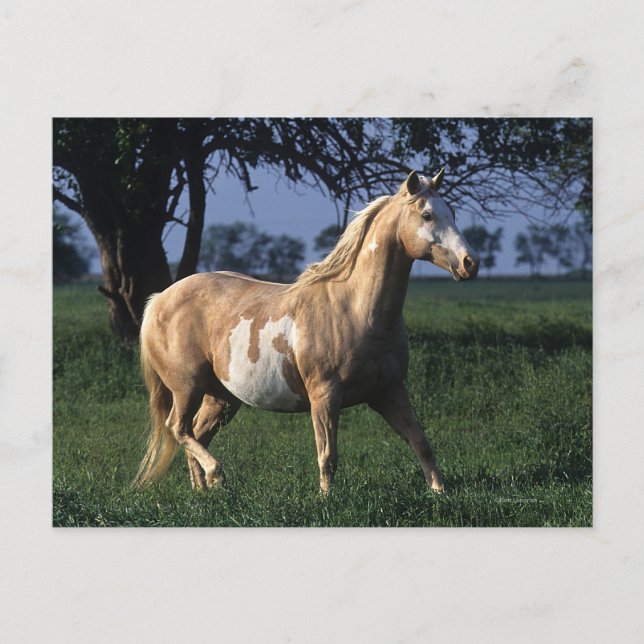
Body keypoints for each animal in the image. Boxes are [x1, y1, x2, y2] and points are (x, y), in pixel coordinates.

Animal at [134, 169, 480, 494]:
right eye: (427, 214)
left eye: (451, 212)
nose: (470, 263)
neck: (356, 310)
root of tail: (160, 299)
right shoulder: (324, 395)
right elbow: (328, 455)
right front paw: (326, 501)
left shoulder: (390, 392)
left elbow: (421, 442)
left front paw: (439, 492)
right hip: (186, 387)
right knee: (178, 428)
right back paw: (216, 475)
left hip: (220, 397)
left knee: (196, 433)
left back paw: (203, 491)